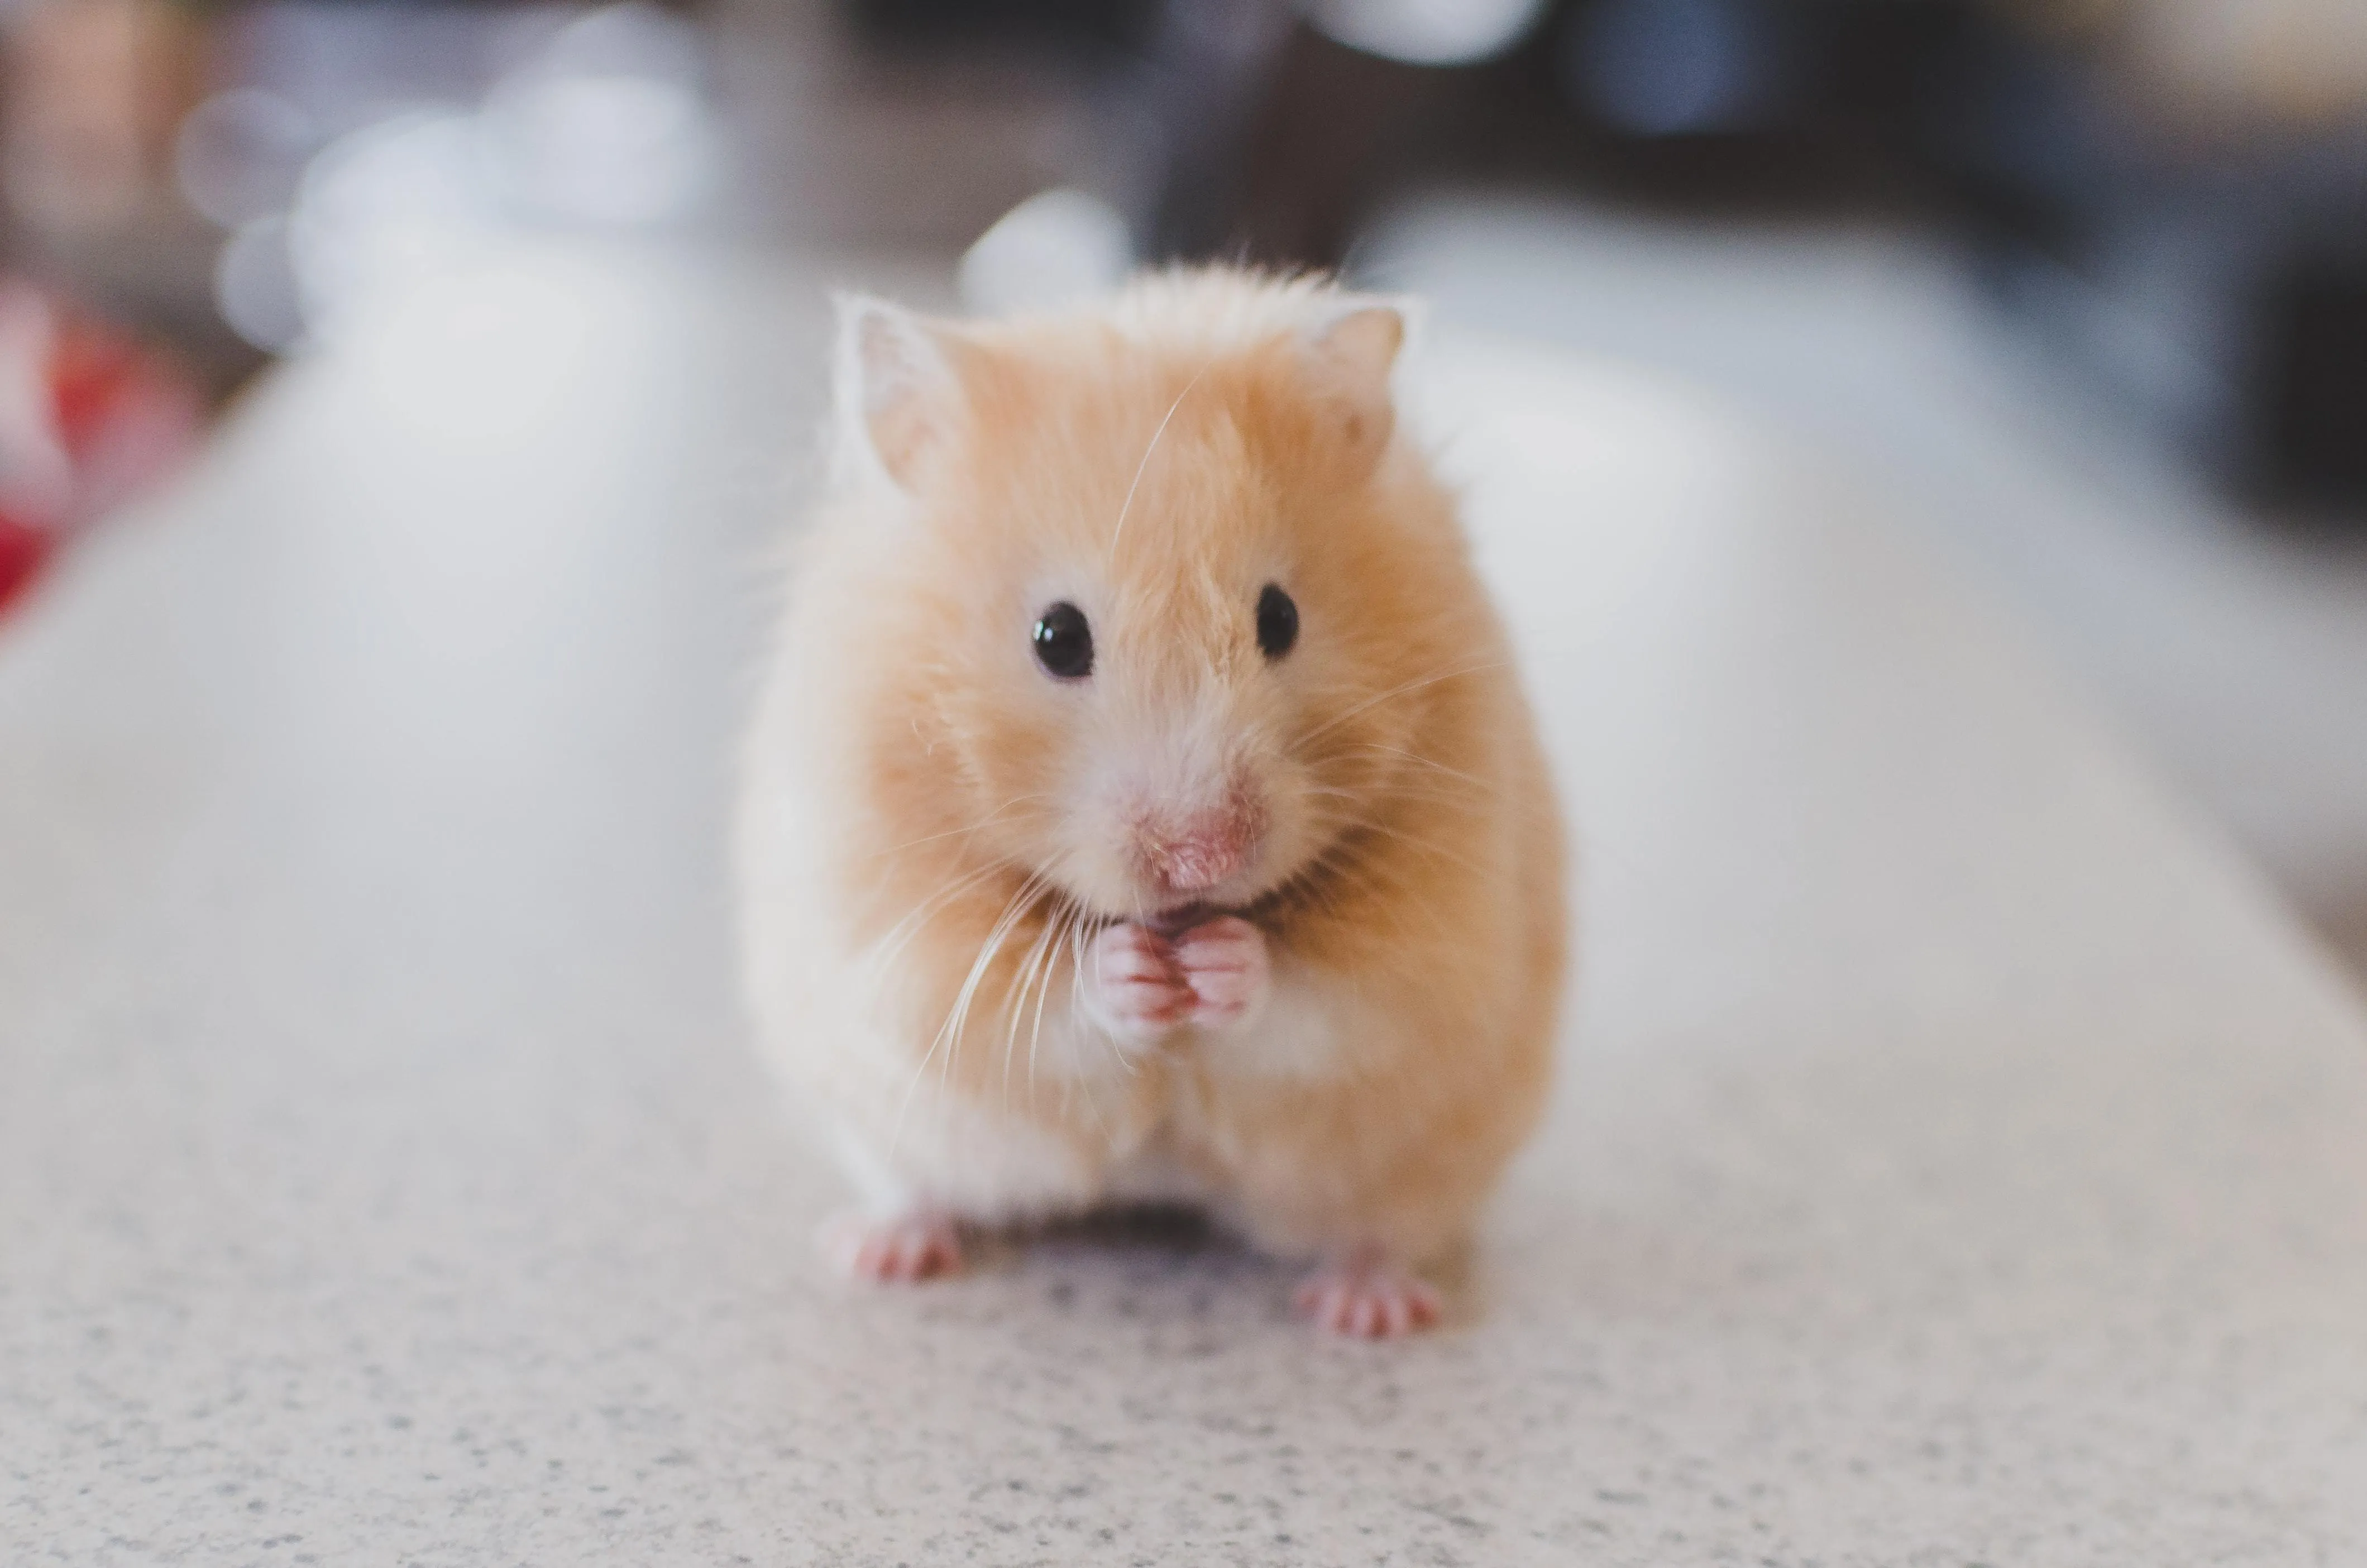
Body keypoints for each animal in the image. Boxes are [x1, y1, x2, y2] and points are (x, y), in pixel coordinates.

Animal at [735, 268, 1567, 1337]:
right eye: (1056, 637)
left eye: (1279, 618)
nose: (1202, 859)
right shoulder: (895, 934)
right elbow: (1033, 1004)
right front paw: (1132, 971)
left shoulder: (1436, 939)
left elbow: (1326, 1001)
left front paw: (1219, 964)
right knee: (915, 1185)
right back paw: (879, 1252)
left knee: (1379, 1228)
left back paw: (1367, 1310)